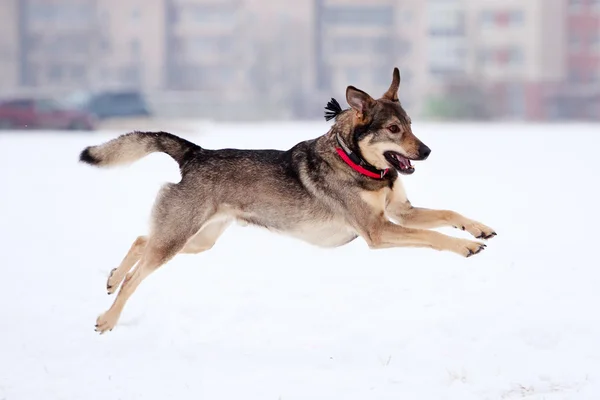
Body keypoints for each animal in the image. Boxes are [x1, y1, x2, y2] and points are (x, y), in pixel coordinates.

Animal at [81, 69, 496, 334]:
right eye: (394, 129)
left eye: (411, 125)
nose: (426, 151)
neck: (358, 162)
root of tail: (194, 153)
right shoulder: (378, 231)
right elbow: (434, 237)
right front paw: (465, 246)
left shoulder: (401, 213)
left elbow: (447, 212)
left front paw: (478, 228)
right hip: (179, 237)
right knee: (136, 276)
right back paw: (108, 317)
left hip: (198, 240)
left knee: (141, 240)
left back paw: (111, 278)